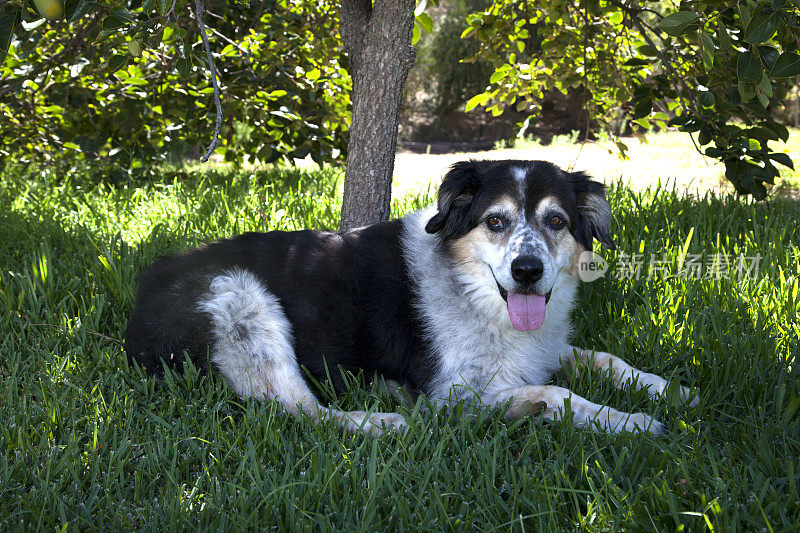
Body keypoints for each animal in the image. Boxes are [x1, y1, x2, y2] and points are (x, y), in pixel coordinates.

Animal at [122, 160, 696, 434]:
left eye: (556, 221)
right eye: (495, 221)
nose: (527, 271)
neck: (471, 293)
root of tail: (145, 286)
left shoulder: (541, 350)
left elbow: (606, 359)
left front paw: (668, 390)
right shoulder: (455, 393)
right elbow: (557, 396)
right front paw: (631, 422)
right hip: (241, 299)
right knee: (298, 413)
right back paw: (382, 421)